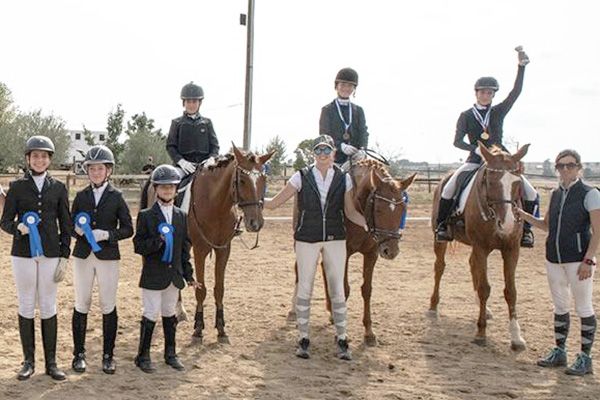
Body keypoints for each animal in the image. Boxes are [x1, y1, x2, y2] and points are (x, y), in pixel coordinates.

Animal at [187, 145, 273, 343]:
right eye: (241, 180)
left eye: (264, 179)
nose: (255, 223)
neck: (215, 204)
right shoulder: (200, 250)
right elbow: (200, 290)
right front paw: (198, 328)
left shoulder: (224, 250)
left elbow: (219, 289)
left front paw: (221, 327)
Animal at [290, 159, 417, 346]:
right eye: (378, 209)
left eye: (403, 209)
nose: (391, 251)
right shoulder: (344, 252)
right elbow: (344, 288)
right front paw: (341, 332)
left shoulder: (371, 254)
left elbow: (367, 290)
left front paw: (369, 333)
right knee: (299, 271)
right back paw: (295, 310)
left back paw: (331, 311)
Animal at [428, 142, 530, 350]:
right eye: (490, 181)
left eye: (517, 183)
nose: (507, 224)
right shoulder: (481, 247)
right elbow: (484, 288)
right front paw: (481, 333)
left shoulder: (511, 250)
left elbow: (511, 291)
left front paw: (516, 337)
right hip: (441, 241)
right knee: (439, 267)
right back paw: (434, 306)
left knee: (472, 265)